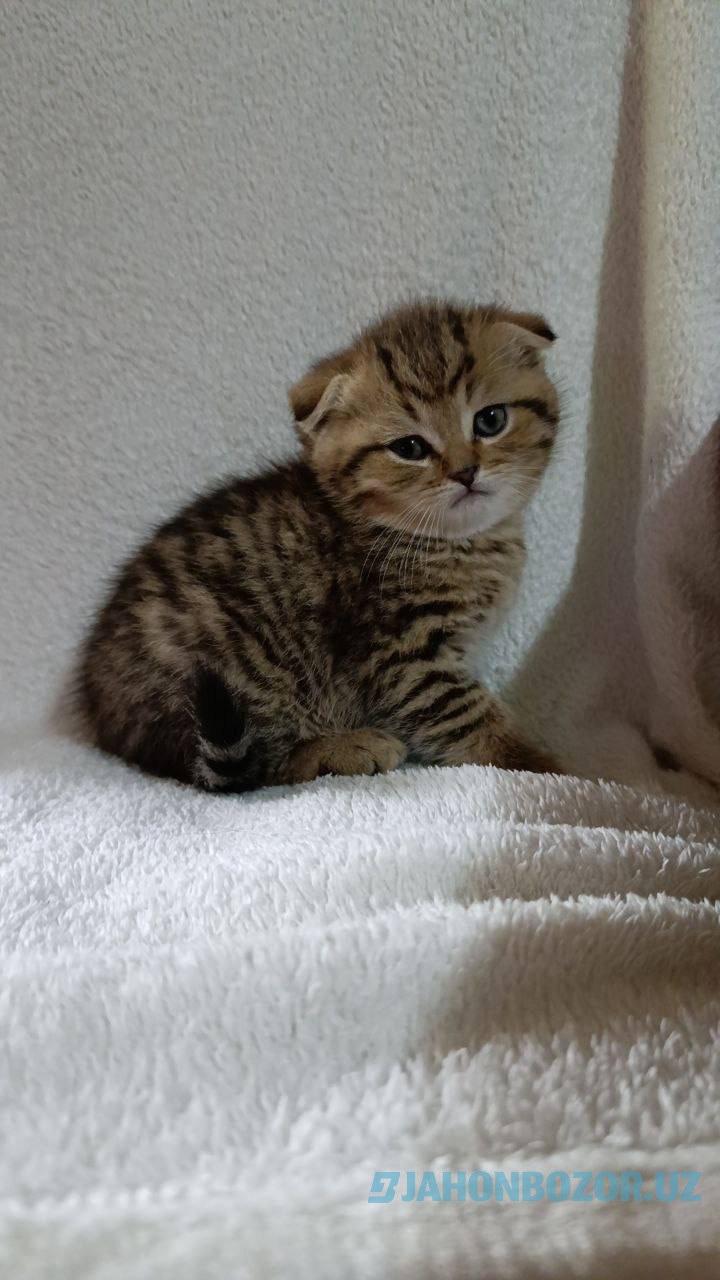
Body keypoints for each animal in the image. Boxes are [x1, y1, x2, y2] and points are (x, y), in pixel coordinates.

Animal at [79, 299, 561, 788]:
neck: (461, 542)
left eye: (490, 420)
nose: (465, 472)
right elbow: (466, 717)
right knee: (261, 765)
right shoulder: (400, 655)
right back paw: (345, 748)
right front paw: (544, 768)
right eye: (409, 447)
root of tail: (104, 717)